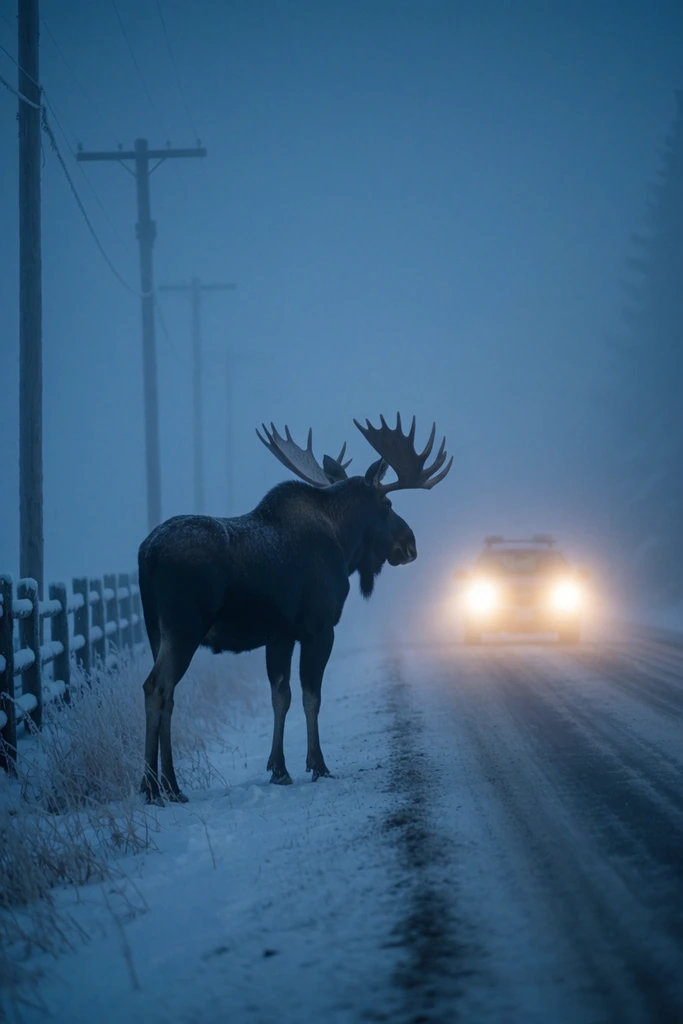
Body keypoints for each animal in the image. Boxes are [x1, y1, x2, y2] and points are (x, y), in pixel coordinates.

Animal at [137, 414, 452, 804]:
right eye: (387, 505)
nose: (410, 544)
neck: (345, 545)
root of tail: (146, 554)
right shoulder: (320, 628)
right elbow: (311, 696)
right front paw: (318, 765)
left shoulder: (280, 635)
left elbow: (280, 696)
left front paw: (279, 769)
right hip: (184, 630)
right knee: (156, 687)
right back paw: (153, 786)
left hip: (156, 630)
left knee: (169, 696)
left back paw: (169, 784)